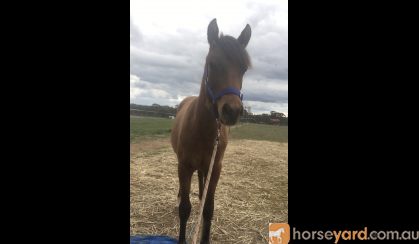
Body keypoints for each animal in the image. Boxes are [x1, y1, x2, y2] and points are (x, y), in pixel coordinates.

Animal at [171, 19, 253, 244]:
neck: (202, 130)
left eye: (243, 69)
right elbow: (185, 209)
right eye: (212, 64)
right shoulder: (184, 167)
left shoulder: (215, 168)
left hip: (204, 168)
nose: (232, 111)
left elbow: (208, 209)